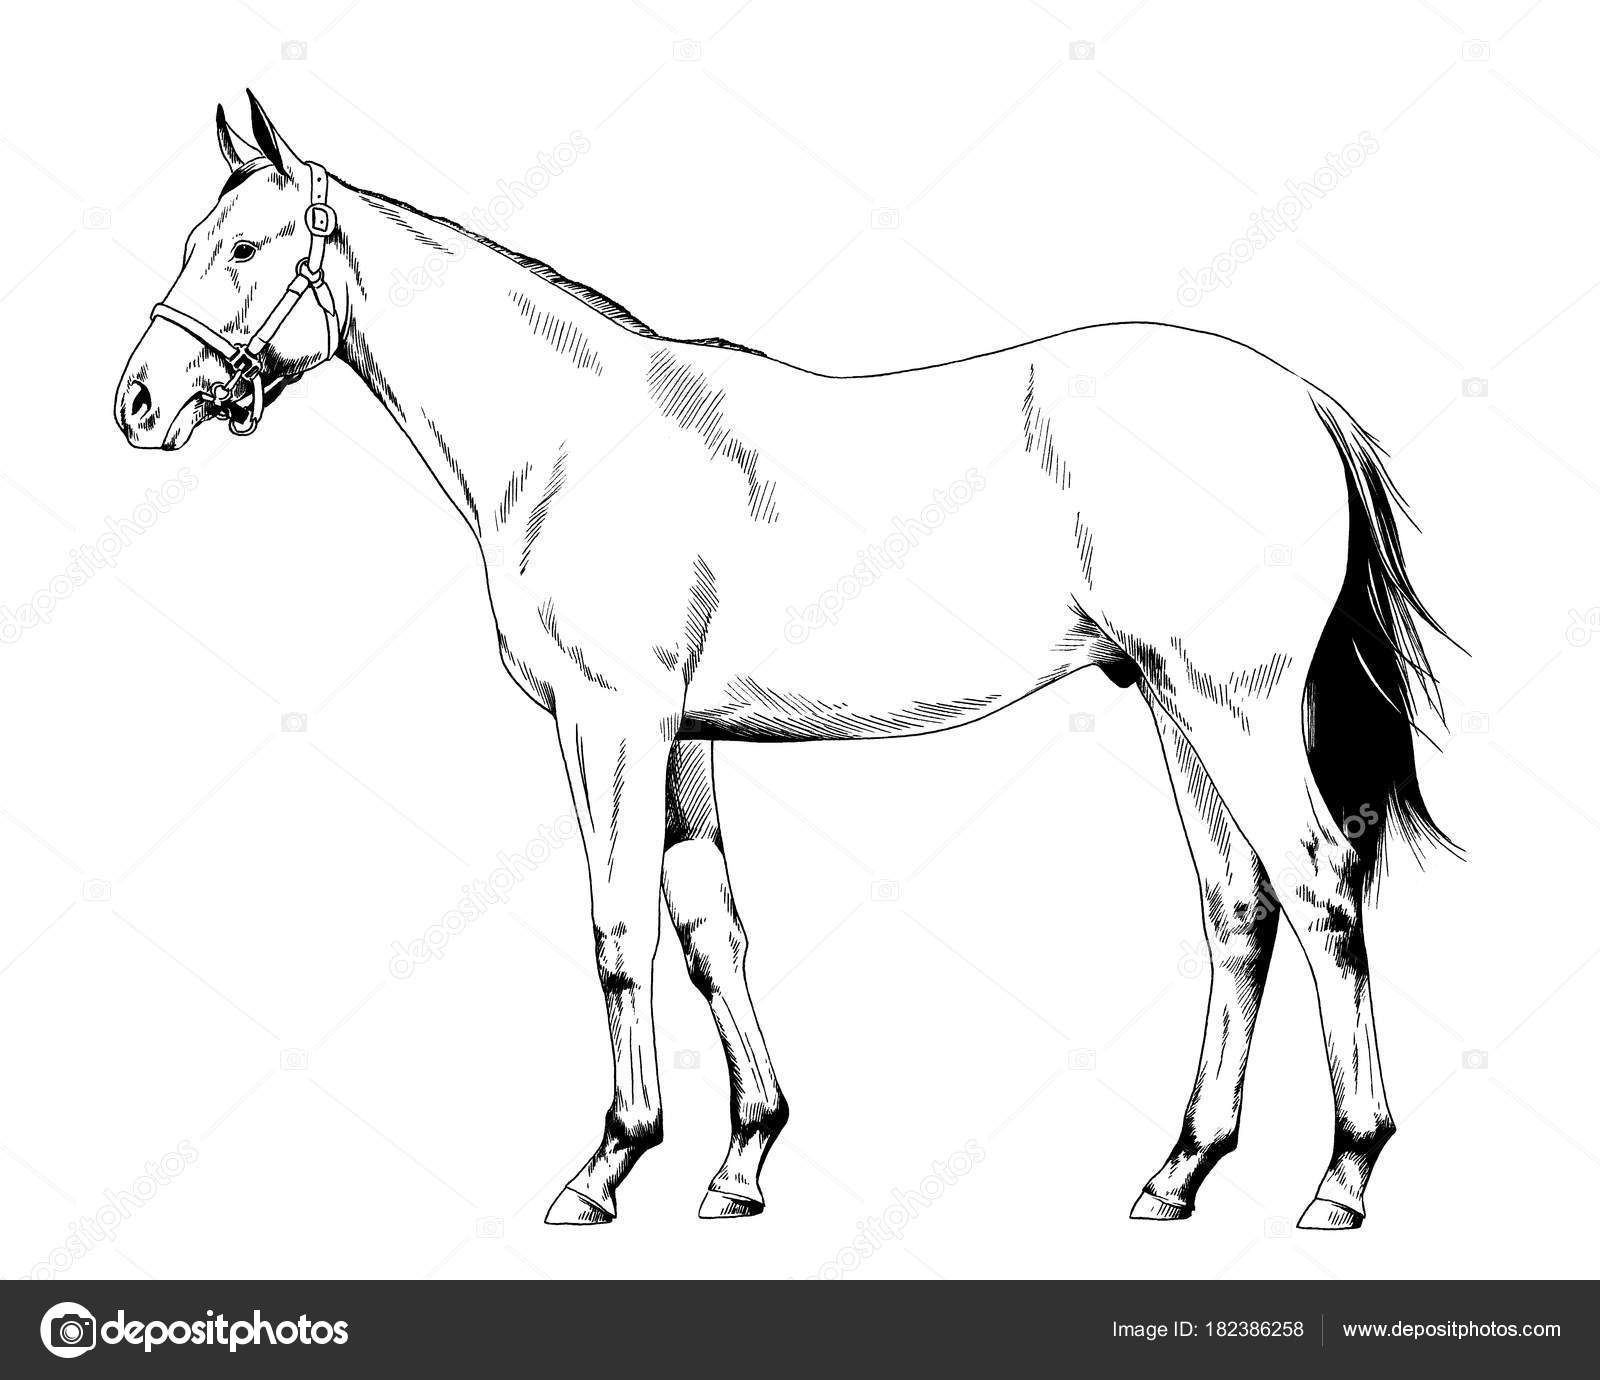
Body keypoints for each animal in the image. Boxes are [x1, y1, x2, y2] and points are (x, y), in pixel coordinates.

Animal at [114, 94, 1454, 1231]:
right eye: (194, 240)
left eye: (245, 247)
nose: (138, 404)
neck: (575, 441)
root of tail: (1302, 402)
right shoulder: (682, 740)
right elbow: (709, 930)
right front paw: (740, 1160)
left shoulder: (610, 723)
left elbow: (617, 931)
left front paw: (605, 1167)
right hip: (1177, 707)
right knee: (1238, 906)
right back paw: (1178, 1172)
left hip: (1233, 710)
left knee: (1320, 889)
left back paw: (1342, 1177)